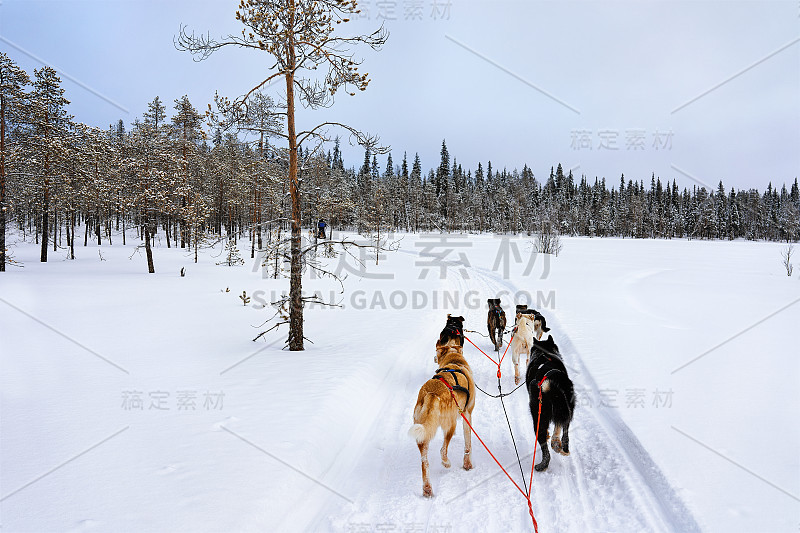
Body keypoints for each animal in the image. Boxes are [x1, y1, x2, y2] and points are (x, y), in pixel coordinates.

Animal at [410, 338, 472, 496]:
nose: (434, 357)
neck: (454, 360)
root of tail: (432, 393)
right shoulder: (467, 413)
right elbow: (468, 444)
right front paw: (467, 464)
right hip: (450, 425)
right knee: (443, 450)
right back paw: (446, 463)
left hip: (422, 433)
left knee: (424, 462)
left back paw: (427, 488)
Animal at [524, 320, 576, 470]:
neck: (544, 354)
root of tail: (549, 382)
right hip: (566, 407)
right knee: (564, 429)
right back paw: (560, 445)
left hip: (538, 415)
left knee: (544, 444)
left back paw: (543, 463)